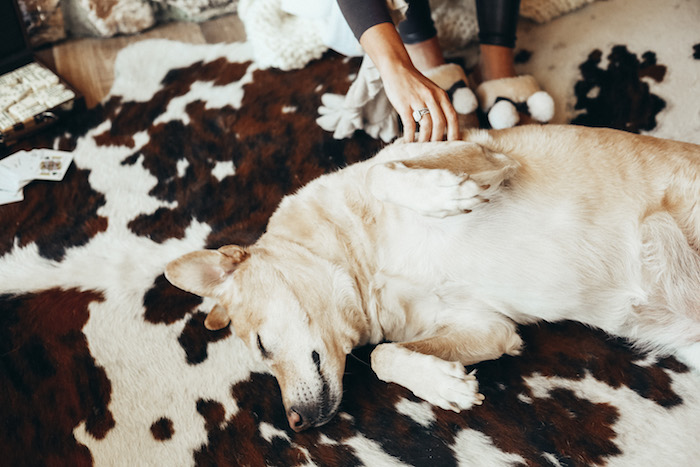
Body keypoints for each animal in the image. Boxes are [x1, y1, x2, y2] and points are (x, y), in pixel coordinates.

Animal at [165, 124, 700, 432]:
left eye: (260, 346)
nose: (295, 425)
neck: (366, 271)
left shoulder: (481, 156)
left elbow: (382, 171)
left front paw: (441, 195)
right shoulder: (487, 327)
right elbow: (383, 355)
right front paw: (444, 386)